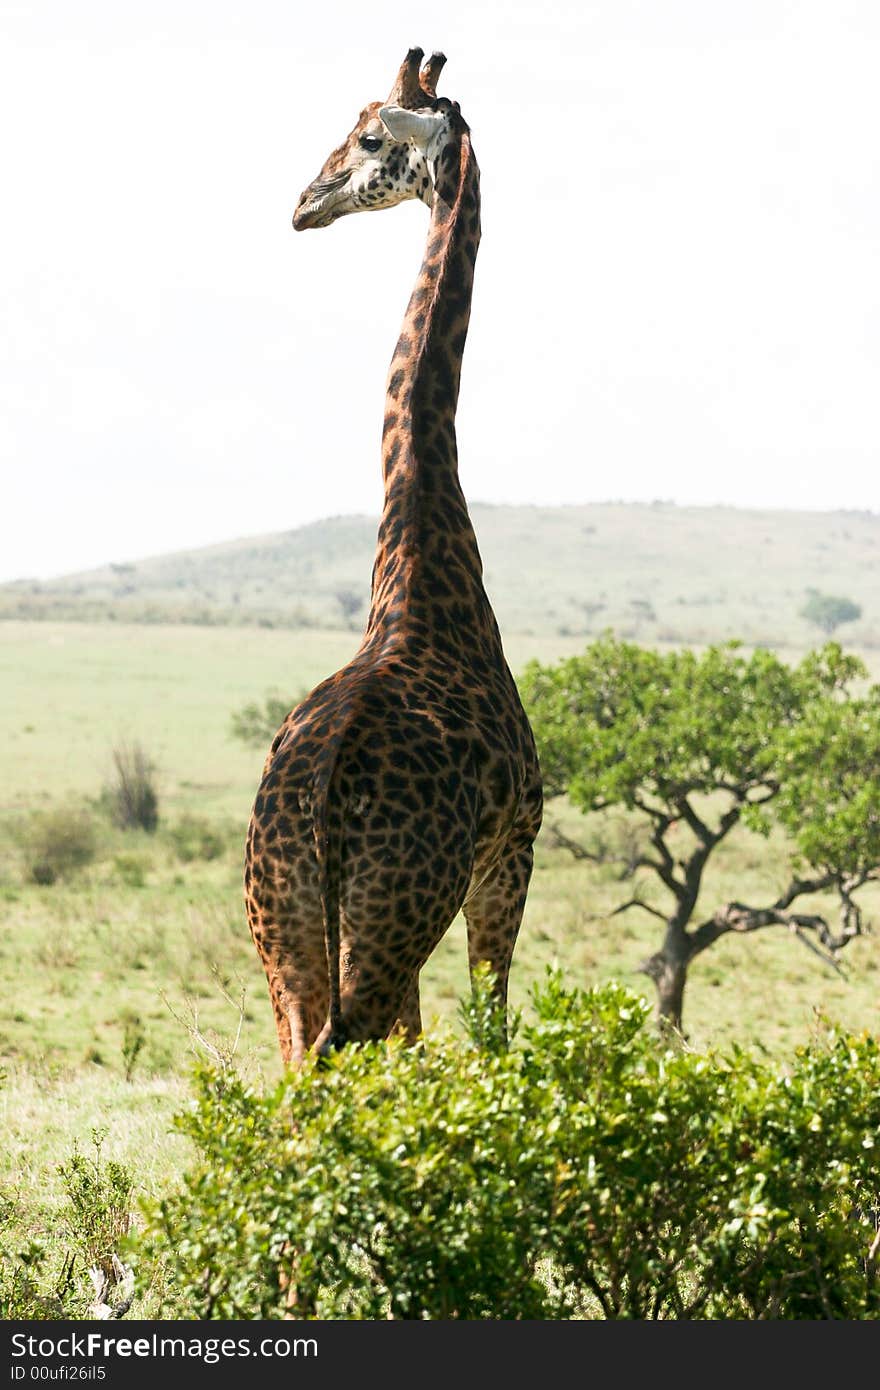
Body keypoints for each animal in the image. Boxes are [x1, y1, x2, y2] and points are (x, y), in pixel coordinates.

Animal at [243, 46, 539, 1061]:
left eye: (370, 137)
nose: (304, 203)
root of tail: (321, 795)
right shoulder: (513, 852)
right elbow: (490, 1033)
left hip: (290, 936)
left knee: (303, 1067)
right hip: (388, 921)